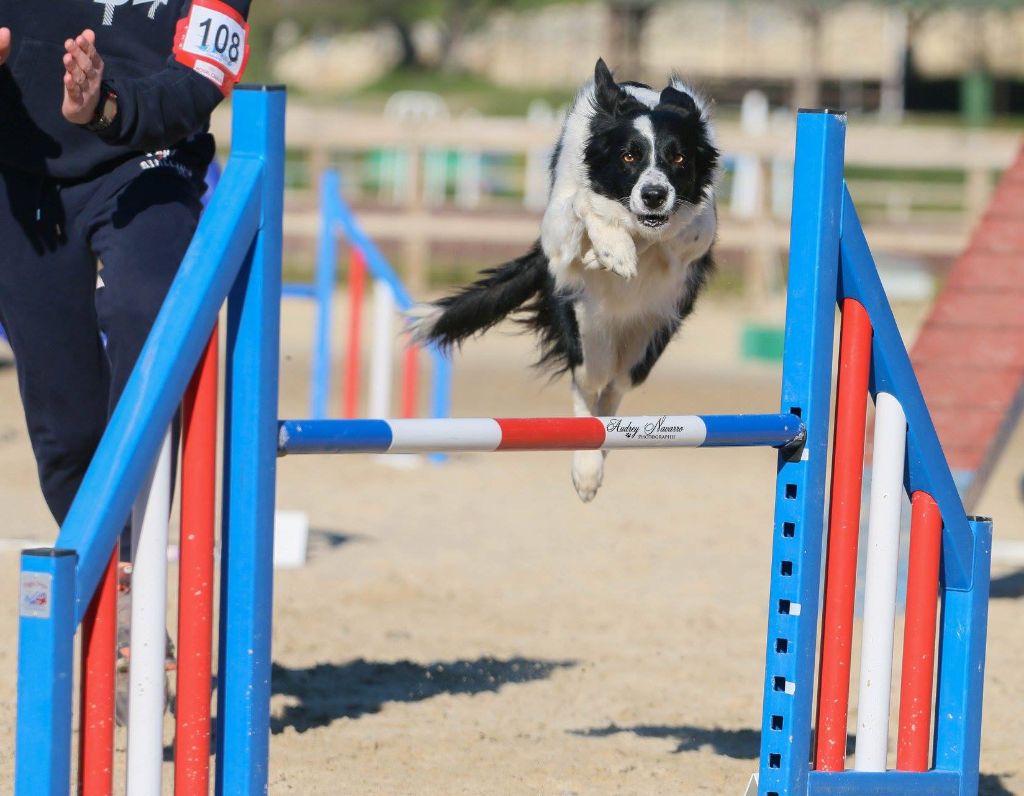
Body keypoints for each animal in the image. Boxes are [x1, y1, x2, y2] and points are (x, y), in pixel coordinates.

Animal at [409, 58, 720, 499]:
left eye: (678, 159)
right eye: (630, 156)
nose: (654, 195)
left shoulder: (697, 233)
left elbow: (677, 230)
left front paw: (622, 245)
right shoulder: (557, 233)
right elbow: (583, 203)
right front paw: (613, 248)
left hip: (644, 345)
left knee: (615, 388)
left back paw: (598, 456)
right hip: (589, 335)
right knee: (588, 385)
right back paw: (587, 467)